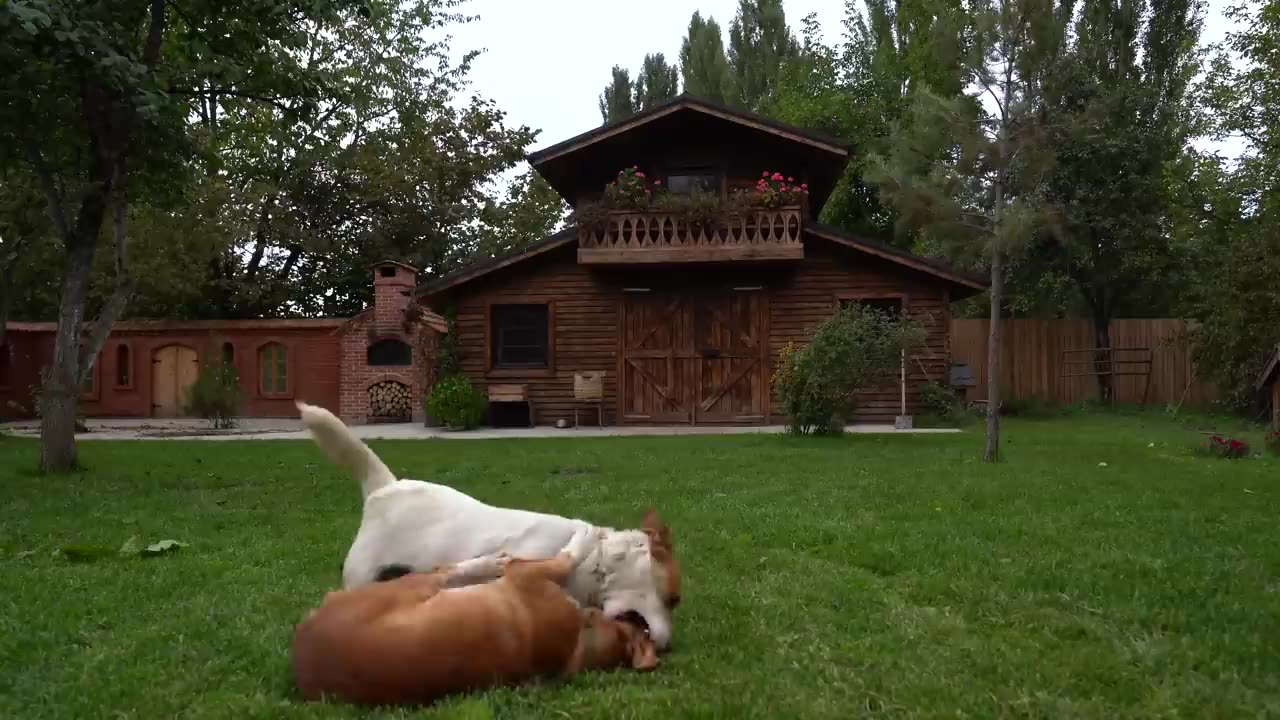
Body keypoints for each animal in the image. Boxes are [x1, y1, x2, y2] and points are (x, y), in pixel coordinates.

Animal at [288, 530, 650, 702]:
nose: (640, 621)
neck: (579, 640)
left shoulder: (526, 575)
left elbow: (567, 556)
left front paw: (586, 538)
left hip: (413, 585)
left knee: (444, 570)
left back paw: (490, 562)